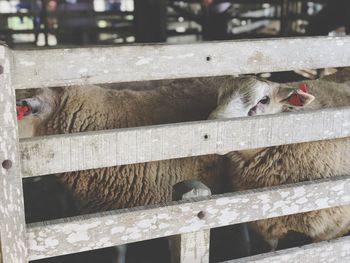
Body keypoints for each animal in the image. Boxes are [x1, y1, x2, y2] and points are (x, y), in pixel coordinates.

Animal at [209, 76, 350, 252]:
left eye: (264, 100)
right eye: (219, 97)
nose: (212, 124)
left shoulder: (330, 230)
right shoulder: (267, 224)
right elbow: (272, 251)